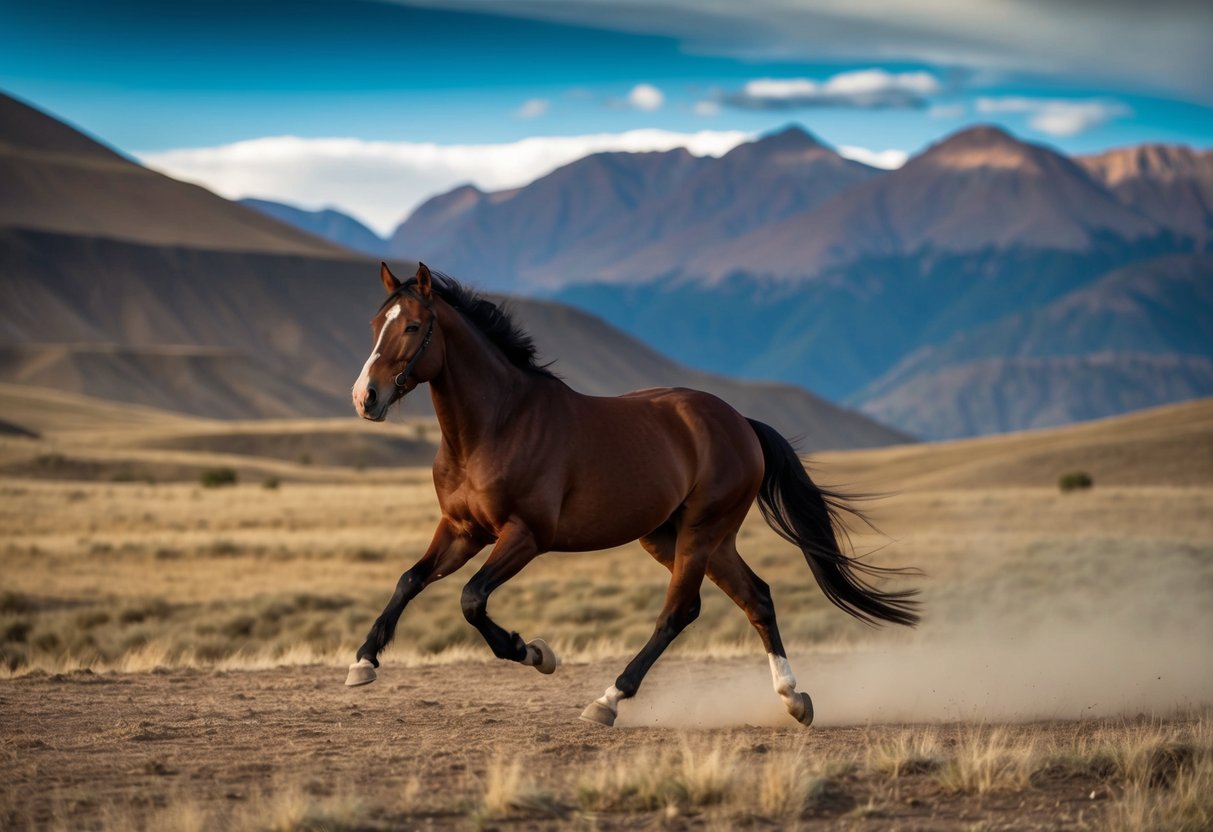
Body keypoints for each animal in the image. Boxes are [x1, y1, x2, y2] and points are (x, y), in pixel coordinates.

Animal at [346, 262, 919, 727]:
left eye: (413, 326)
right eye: (375, 326)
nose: (365, 398)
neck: (496, 426)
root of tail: (740, 423)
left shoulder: (525, 536)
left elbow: (471, 599)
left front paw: (533, 652)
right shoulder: (462, 531)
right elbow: (409, 580)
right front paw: (363, 663)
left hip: (701, 532)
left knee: (677, 612)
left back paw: (608, 701)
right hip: (679, 537)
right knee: (753, 597)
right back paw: (794, 700)